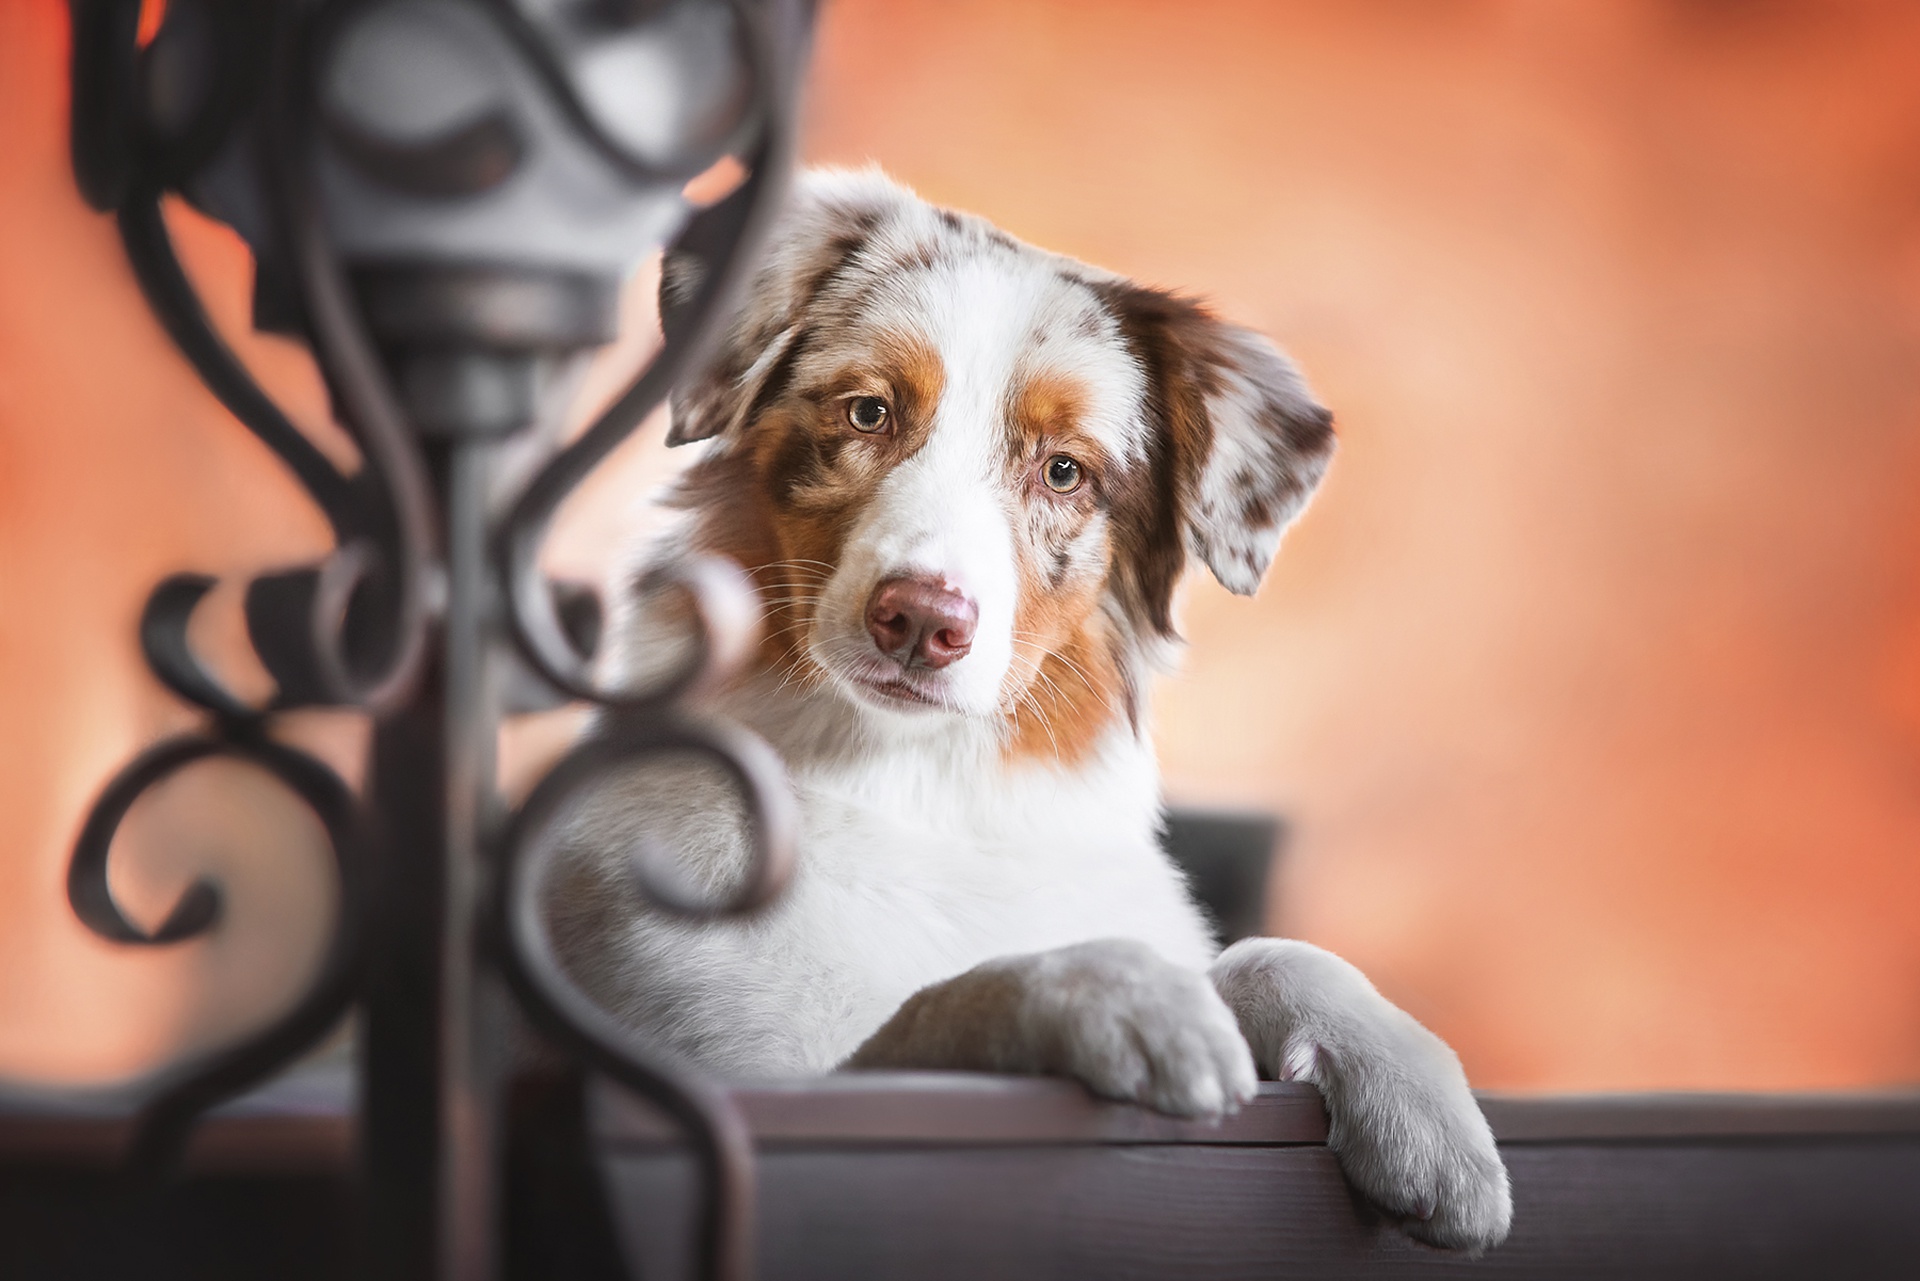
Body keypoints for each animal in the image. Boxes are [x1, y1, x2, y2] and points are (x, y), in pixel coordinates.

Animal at [556, 168, 1512, 1252]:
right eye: (867, 413)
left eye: (1064, 470)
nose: (921, 621)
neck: (918, 789)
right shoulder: (762, 1085)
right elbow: (940, 1005)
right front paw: (1119, 992)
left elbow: (1278, 951)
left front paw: (1427, 1109)